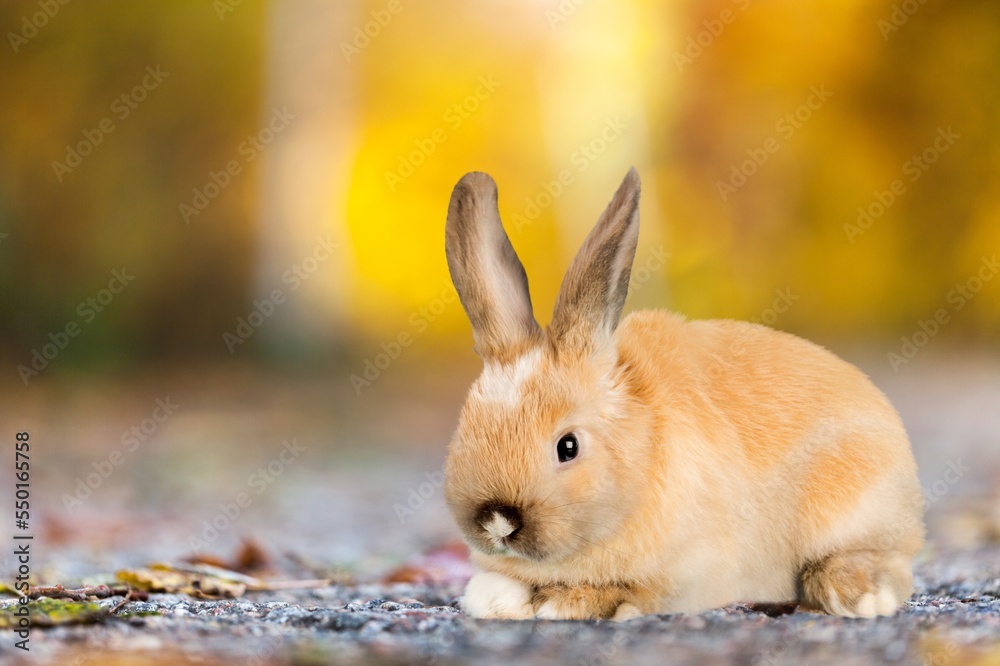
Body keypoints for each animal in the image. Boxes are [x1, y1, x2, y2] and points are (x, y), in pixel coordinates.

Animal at [442, 166, 924, 616]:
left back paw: (856, 596)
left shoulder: (690, 569)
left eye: (568, 446)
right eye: (463, 433)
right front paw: (494, 600)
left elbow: (632, 591)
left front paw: (569, 604)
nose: (498, 521)